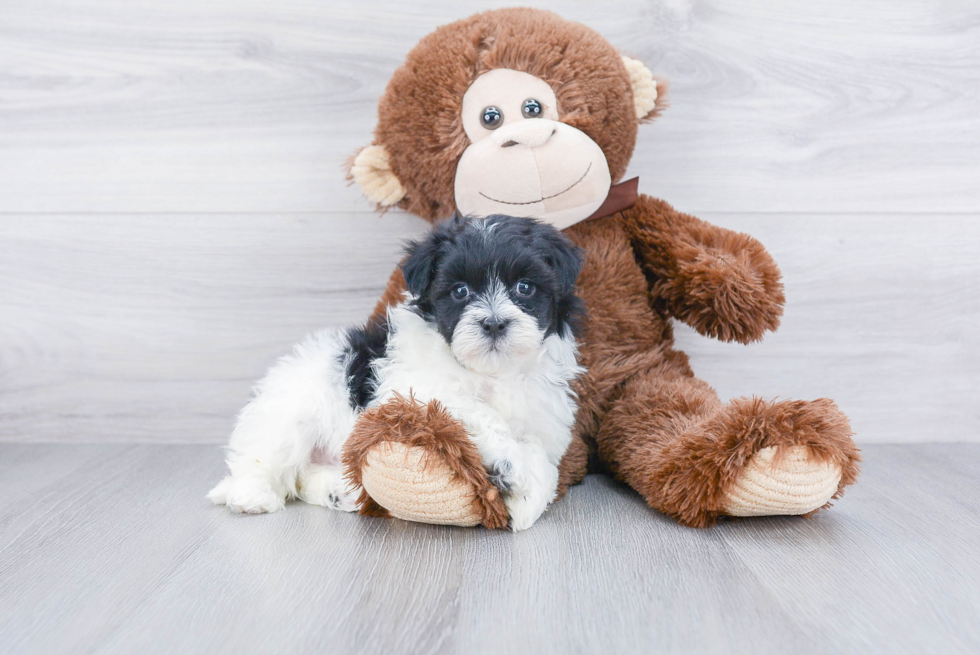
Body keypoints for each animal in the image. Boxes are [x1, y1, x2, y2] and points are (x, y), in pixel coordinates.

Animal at [209, 215, 580, 532]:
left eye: (525, 287)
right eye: (460, 291)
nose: (494, 323)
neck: (493, 373)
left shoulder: (546, 420)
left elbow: (545, 462)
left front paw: (527, 503)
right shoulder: (413, 392)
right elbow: (479, 411)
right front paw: (510, 465)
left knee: (302, 478)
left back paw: (338, 492)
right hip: (290, 414)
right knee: (265, 458)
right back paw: (251, 495)